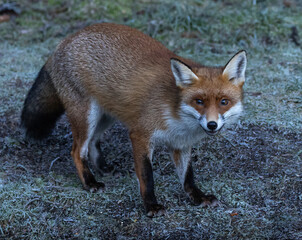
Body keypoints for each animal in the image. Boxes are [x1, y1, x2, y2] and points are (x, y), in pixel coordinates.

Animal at [21, 23, 248, 218]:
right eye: (199, 101)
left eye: (224, 102)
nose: (212, 124)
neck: (177, 114)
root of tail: (65, 41)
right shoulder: (140, 134)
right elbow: (147, 176)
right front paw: (151, 206)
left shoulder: (180, 144)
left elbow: (188, 177)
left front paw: (198, 197)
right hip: (87, 115)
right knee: (77, 151)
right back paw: (90, 182)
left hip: (106, 116)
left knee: (93, 142)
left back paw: (103, 168)